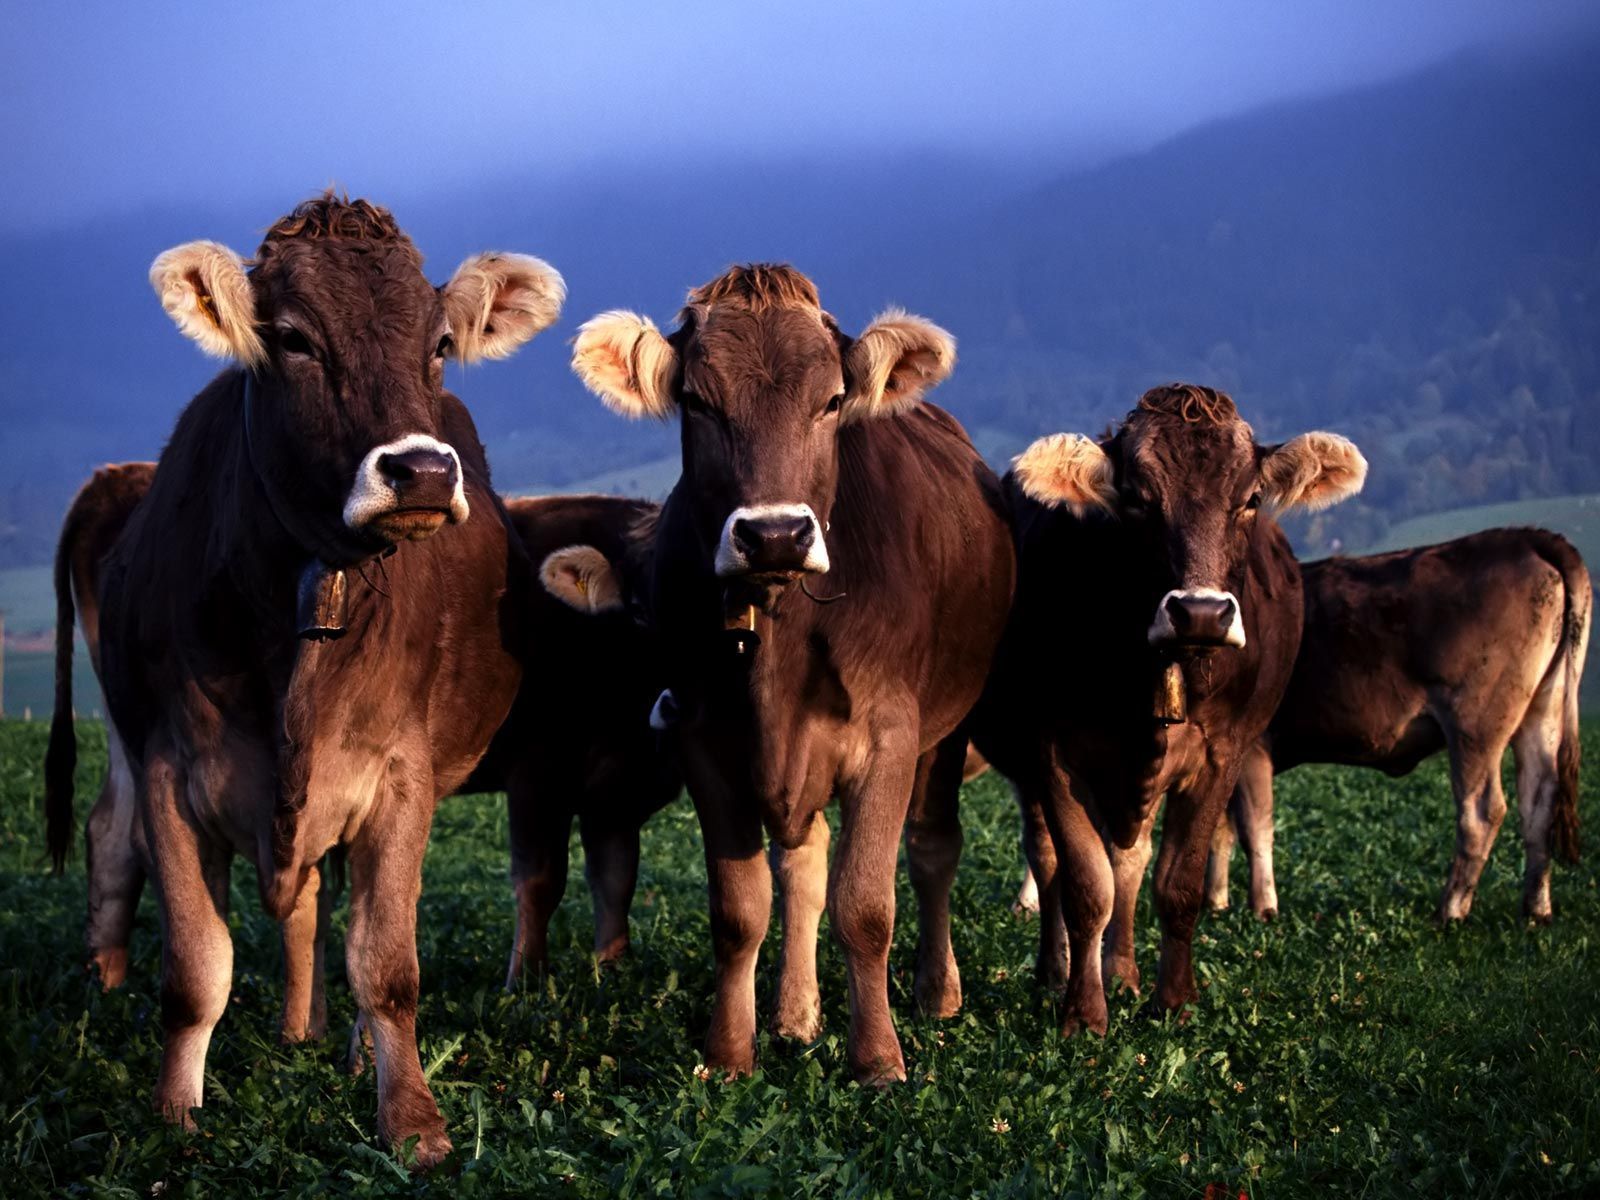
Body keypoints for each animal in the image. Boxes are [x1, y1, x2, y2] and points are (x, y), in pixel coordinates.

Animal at [79, 193, 564, 1165]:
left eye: (439, 343)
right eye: (296, 339)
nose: (422, 471)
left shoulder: (399, 777)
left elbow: (386, 963)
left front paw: (411, 1120)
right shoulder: (167, 771)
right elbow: (196, 968)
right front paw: (173, 1115)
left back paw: (346, 1049)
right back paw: (299, 1027)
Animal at [569, 264, 1015, 1083]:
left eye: (832, 400)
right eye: (698, 402)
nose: (774, 534)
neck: (778, 627)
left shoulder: (889, 737)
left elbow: (865, 904)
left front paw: (878, 1058)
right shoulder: (705, 736)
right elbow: (741, 909)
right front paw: (729, 1051)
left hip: (949, 726)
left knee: (933, 850)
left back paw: (937, 993)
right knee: (802, 869)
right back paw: (795, 1015)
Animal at [973, 384, 1365, 1036]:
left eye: (1251, 499)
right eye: (1136, 499)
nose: (1201, 613)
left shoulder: (1222, 754)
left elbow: (1176, 883)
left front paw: (1174, 1001)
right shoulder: (1053, 755)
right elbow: (1086, 888)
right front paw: (1083, 1011)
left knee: (1131, 861)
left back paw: (1124, 972)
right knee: (1050, 860)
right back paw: (1056, 972)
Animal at [1206, 529, 1590, 923]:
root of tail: (1522, 536)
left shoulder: (1253, 747)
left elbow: (1254, 827)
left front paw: (1263, 909)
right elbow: (1219, 829)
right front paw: (1214, 902)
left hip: (1475, 724)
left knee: (1481, 812)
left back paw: (1451, 910)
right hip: (1542, 711)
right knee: (1538, 804)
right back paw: (1536, 909)